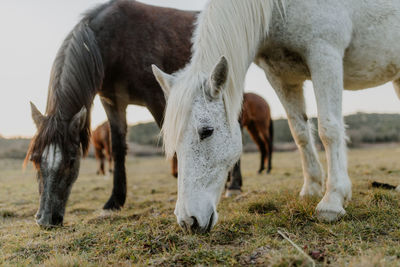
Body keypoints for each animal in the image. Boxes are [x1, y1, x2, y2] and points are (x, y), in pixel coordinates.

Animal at [24, 1, 196, 229]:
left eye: (71, 160)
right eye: (35, 159)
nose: (45, 219)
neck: (115, 41)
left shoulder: (157, 97)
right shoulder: (113, 102)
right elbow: (117, 149)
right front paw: (115, 201)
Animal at [152, 0, 400, 233]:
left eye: (207, 131)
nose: (187, 221)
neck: (278, 9)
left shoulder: (325, 55)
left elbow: (328, 129)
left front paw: (332, 200)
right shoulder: (281, 76)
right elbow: (300, 132)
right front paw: (311, 188)